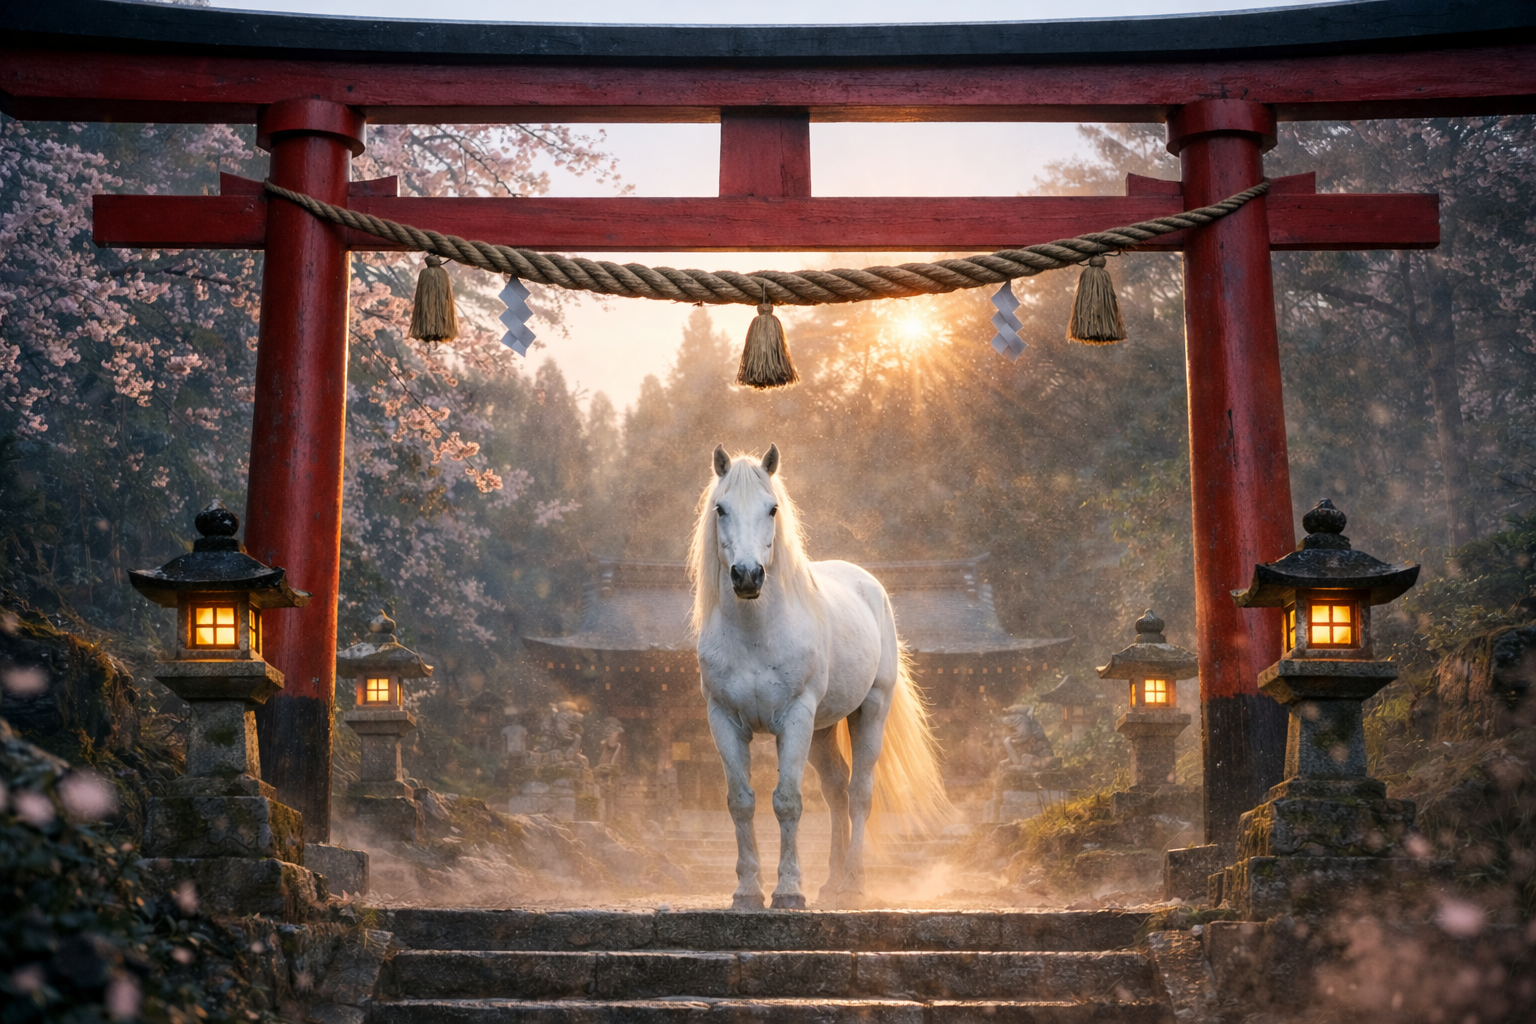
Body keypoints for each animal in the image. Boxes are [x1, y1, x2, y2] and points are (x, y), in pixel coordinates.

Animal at [688, 443, 949, 909]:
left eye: (772, 508)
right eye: (721, 508)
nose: (748, 575)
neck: (756, 635)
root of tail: (870, 585)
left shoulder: (795, 717)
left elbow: (788, 802)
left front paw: (789, 891)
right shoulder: (724, 720)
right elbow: (741, 802)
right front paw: (747, 891)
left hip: (870, 709)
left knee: (859, 792)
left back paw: (853, 885)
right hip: (823, 730)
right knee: (836, 791)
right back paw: (830, 883)